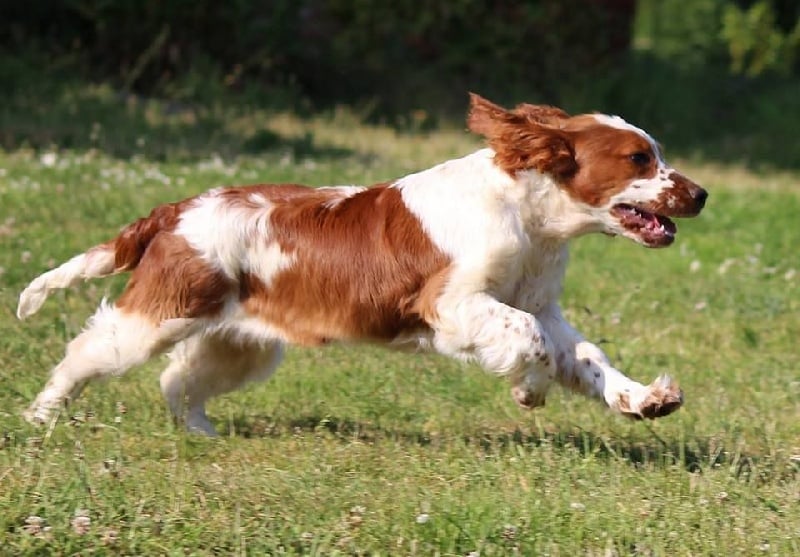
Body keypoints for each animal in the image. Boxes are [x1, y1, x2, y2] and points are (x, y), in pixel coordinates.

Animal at [15, 94, 708, 434]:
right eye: (639, 159)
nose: (700, 194)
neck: (529, 215)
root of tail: (173, 210)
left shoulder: (541, 303)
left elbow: (585, 356)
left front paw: (646, 400)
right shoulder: (451, 306)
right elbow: (528, 339)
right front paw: (528, 390)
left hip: (240, 342)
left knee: (177, 380)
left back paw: (201, 435)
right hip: (160, 314)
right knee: (85, 353)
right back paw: (41, 417)